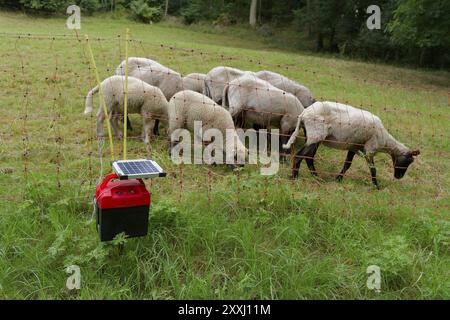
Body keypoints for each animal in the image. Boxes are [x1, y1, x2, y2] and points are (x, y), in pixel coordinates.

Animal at [284, 101, 420, 189]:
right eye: (408, 161)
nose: (398, 177)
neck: (385, 141)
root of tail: (304, 114)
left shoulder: (354, 147)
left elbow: (347, 164)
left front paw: (338, 179)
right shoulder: (370, 148)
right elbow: (373, 169)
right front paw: (377, 186)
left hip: (314, 137)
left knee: (309, 157)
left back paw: (316, 177)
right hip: (315, 134)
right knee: (299, 156)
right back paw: (294, 178)